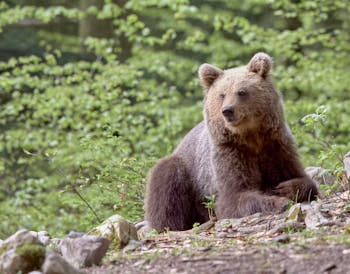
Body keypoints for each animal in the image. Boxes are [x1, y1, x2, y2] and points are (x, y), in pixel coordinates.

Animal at [144, 53, 318, 231]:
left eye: (241, 92)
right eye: (222, 94)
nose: (227, 110)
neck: (251, 136)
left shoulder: (276, 145)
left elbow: (303, 179)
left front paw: (284, 188)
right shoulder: (229, 152)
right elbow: (235, 197)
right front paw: (279, 201)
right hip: (187, 173)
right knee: (167, 185)